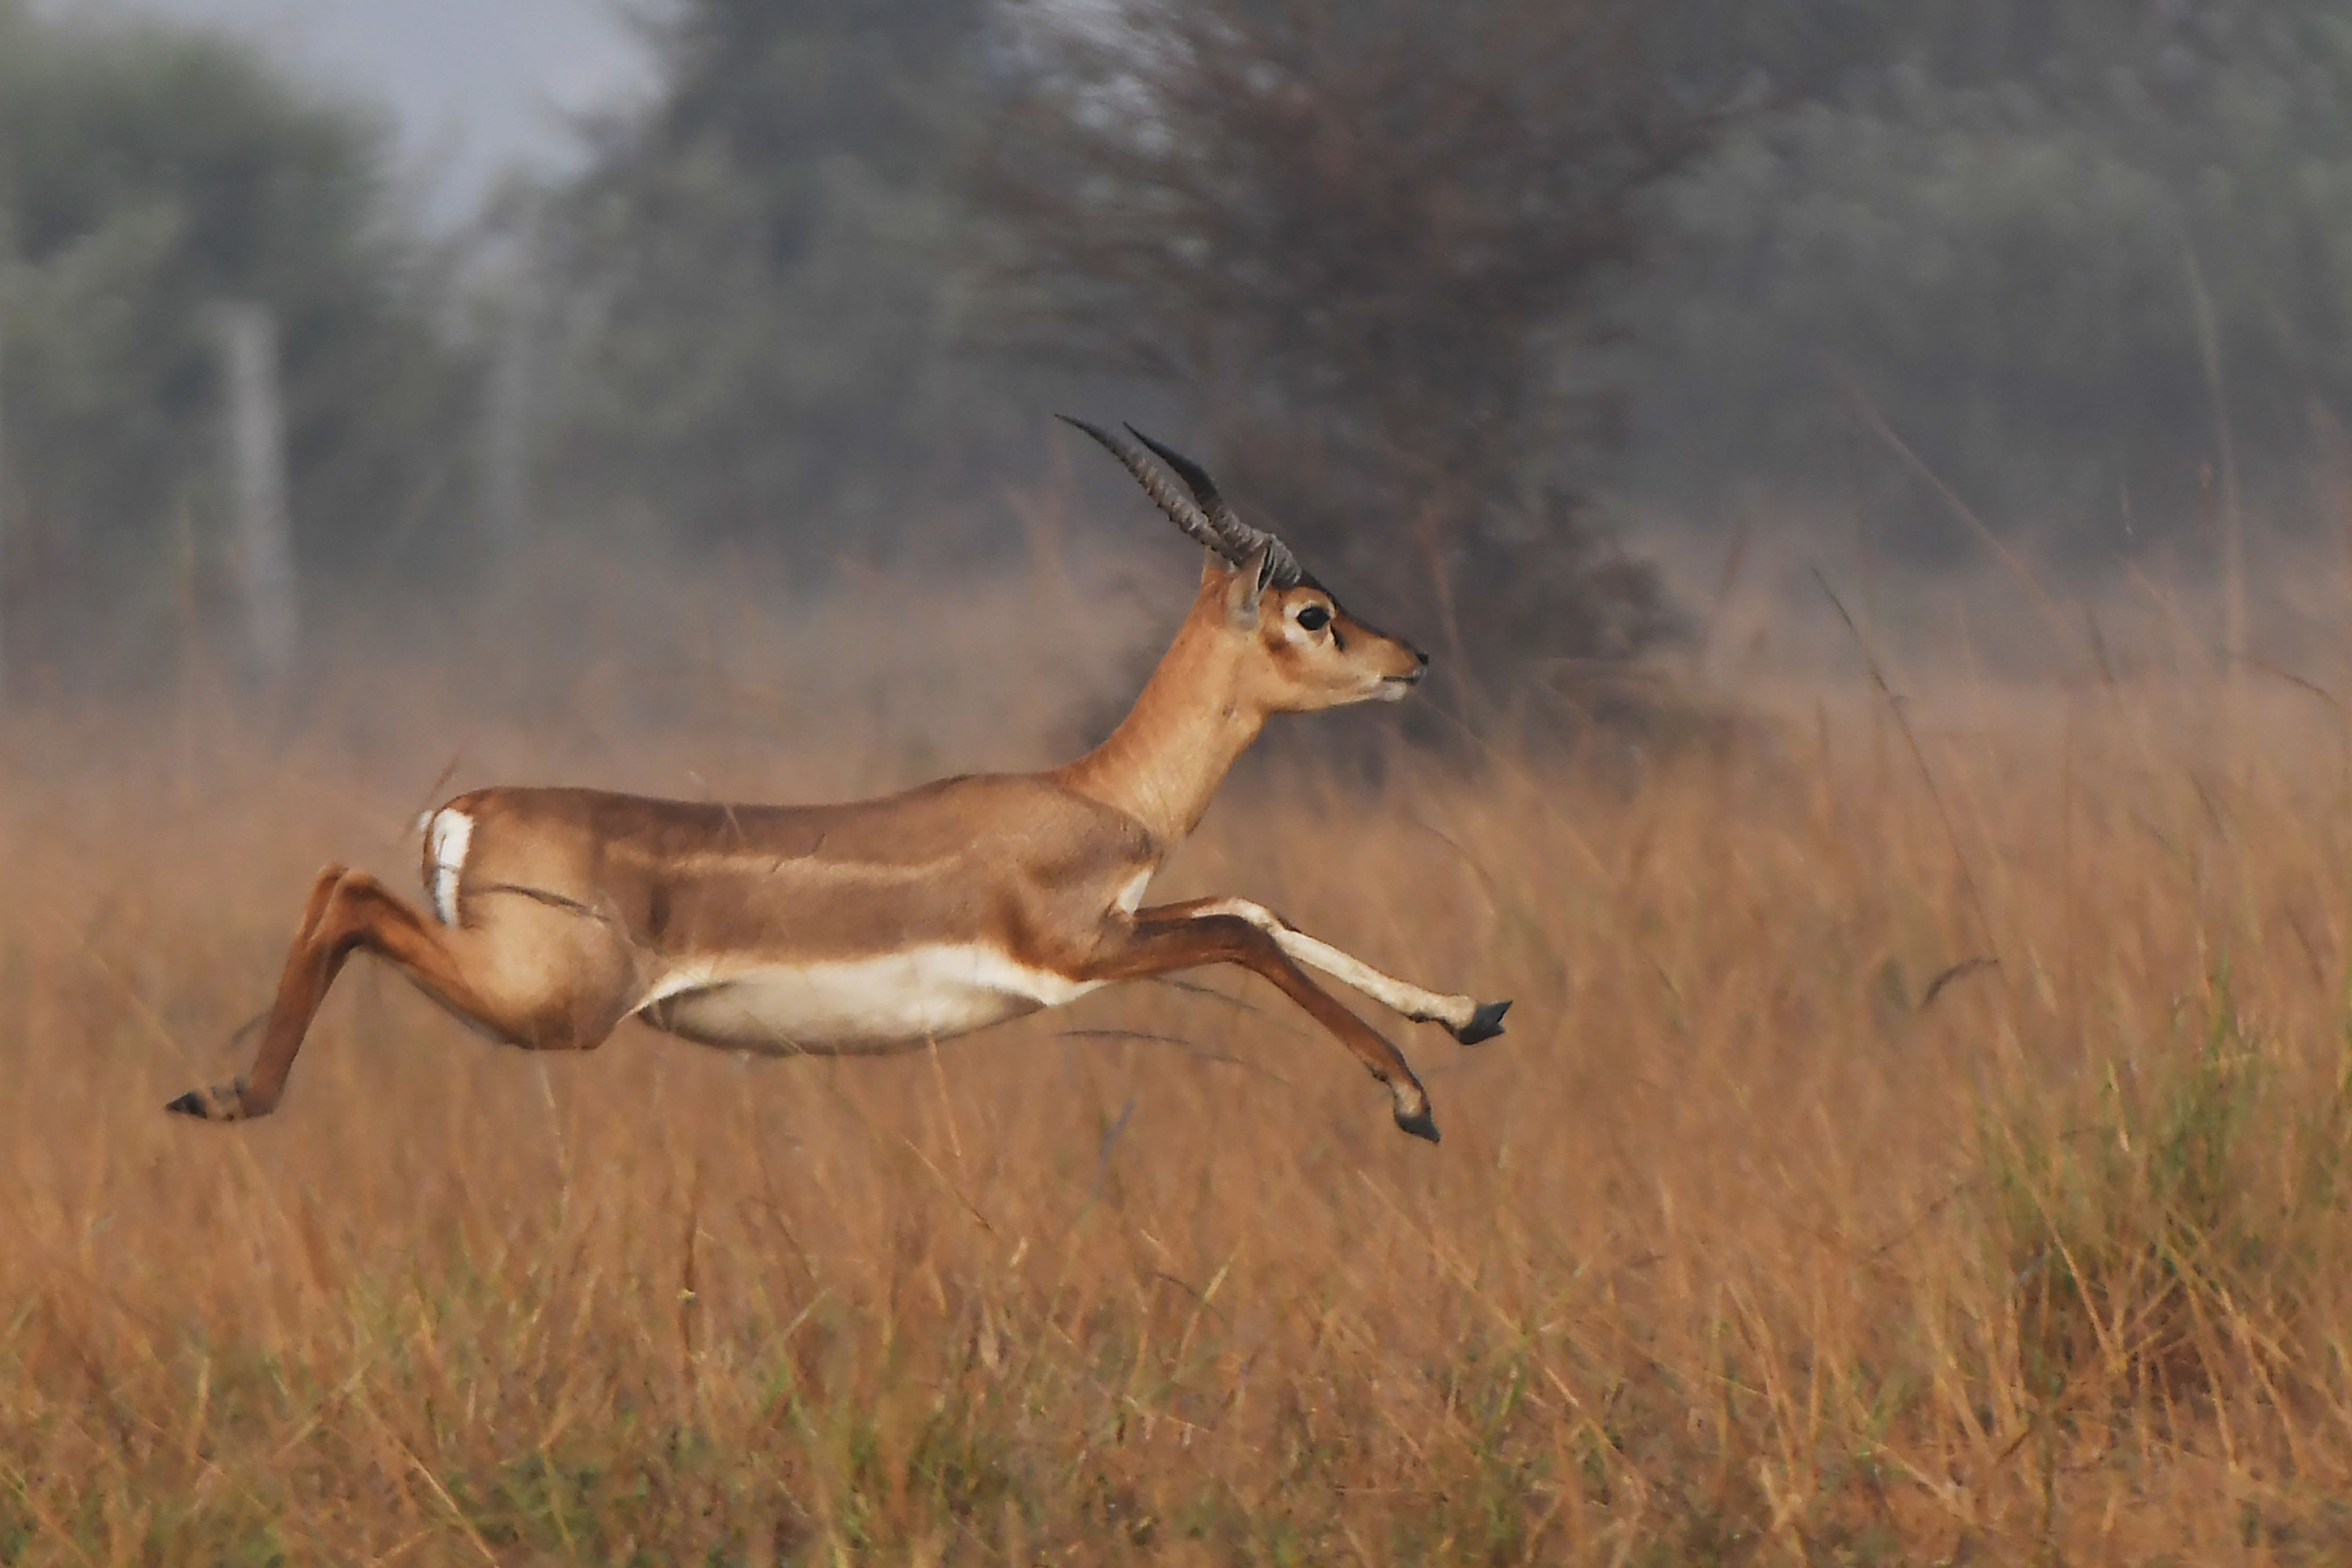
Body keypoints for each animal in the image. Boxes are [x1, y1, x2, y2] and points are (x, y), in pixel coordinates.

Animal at [173, 423, 1514, 1147]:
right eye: (1312, 611)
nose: (1412, 657)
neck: (1098, 796)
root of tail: (466, 809)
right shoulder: (1077, 952)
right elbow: (1244, 933)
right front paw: (1411, 1097)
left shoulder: (1125, 921)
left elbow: (1256, 905)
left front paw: (1471, 1012)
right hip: (556, 1006)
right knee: (346, 890)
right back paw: (226, 1093)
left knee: (335, 885)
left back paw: (217, 1092)